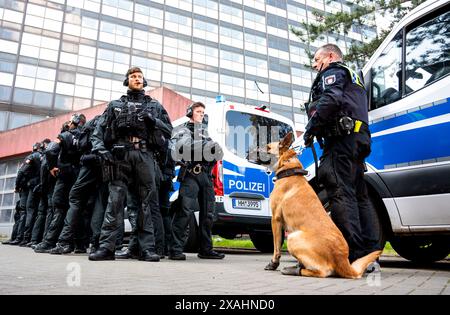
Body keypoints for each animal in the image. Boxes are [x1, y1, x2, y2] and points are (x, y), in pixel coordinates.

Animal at [266, 133, 382, 278]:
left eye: (267, 148)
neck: (289, 168)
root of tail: (342, 259)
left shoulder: (275, 219)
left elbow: (276, 246)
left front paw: (273, 263)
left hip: (293, 237)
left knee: (322, 272)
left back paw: (295, 270)